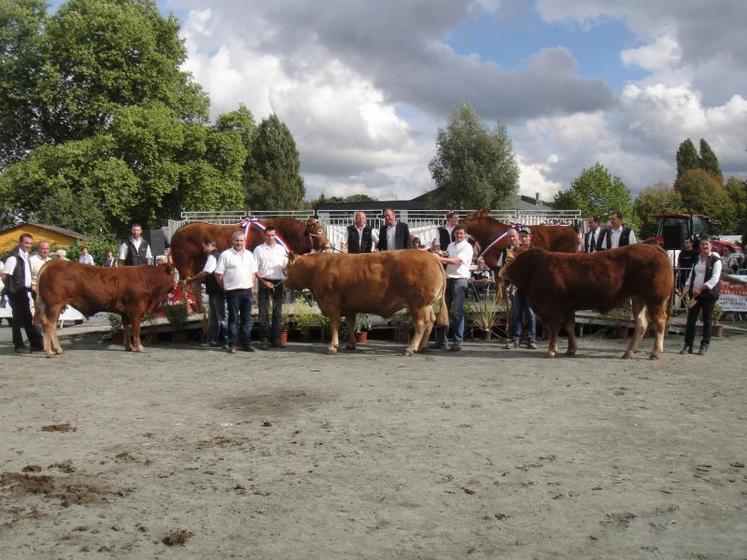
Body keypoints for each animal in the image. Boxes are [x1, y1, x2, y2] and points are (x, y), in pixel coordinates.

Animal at [38, 260, 178, 356]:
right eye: (173, 273)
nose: (178, 284)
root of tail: (53, 262)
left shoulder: (125, 312)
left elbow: (126, 327)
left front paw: (128, 346)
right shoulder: (136, 309)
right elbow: (136, 329)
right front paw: (139, 347)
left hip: (55, 306)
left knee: (50, 324)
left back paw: (57, 349)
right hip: (54, 305)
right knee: (48, 324)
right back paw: (50, 351)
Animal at [284, 249, 450, 354]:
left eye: (286, 270)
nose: (284, 284)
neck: (317, 269)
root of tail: (431, 256)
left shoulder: (332, 305)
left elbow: (334, 326)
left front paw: (332, 347)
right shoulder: (349, 307)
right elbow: (350, 324)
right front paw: (350, 344)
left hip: (418, 304)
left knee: (421, 323)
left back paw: (411, 348)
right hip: (426, 304)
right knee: (431, 321)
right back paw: (421, 347)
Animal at [500, 245, 676, 358]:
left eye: (507, 259)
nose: (500, 273)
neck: (535, 269)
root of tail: (655, 248)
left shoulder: (554, 307)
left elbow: (555, 327)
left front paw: (551, 350)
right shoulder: (568, 307)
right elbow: (569, 326)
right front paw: (571, 349)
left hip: (654, 299)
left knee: (659, 322)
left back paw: (655, 352)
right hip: (638, 298)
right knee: (641, 324)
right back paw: (628, 352)